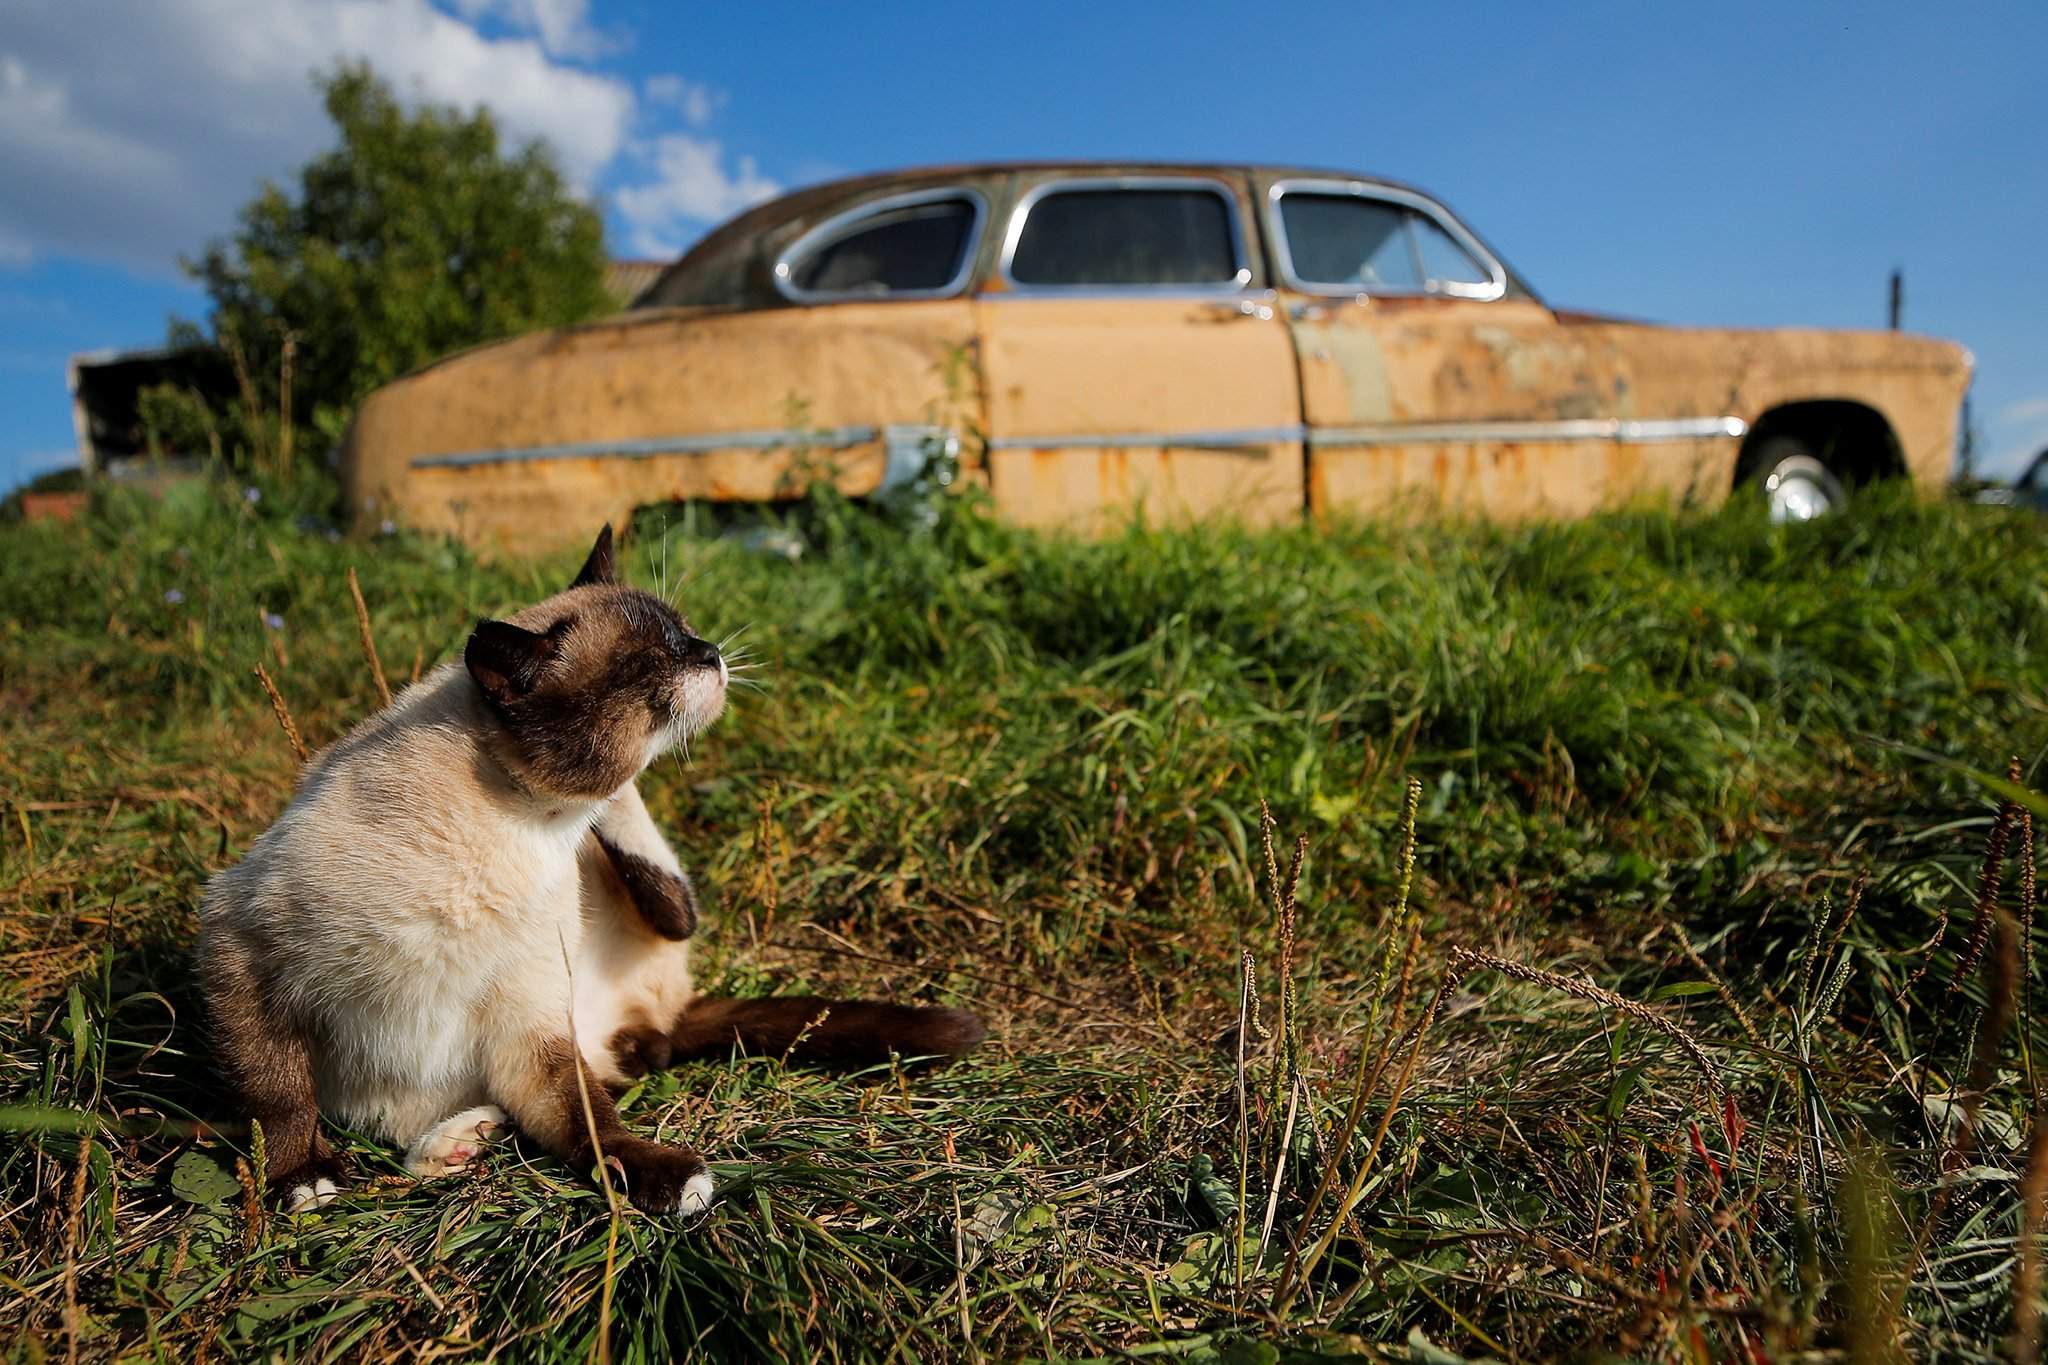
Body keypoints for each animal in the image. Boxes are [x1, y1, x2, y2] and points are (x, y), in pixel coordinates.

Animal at [193, 527, 983, 1211]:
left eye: (686, 633)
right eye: (656, 659)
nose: (712, 651)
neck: (535, 825)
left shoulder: (532, 1025)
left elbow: (592, 1127)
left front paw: (663, 1179)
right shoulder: (244, 952)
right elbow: (279, 1098)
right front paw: (302, 1179)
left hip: (607, 969)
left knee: (655, 956)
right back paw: (455, 1144)